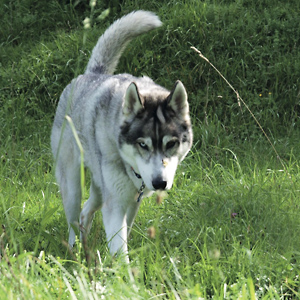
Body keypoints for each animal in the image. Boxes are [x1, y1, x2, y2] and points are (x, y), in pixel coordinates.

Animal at [50, 10, 193, 258]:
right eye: (142, 144)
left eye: (171, 144)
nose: (159, 183)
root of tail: (91, 74)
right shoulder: (115, 204)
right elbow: (119, 248)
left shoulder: (131, 201)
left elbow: (124, 233)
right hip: (72, 186)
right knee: (73, 220)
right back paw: (74, 253)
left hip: (100, 190)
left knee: (86, 211)